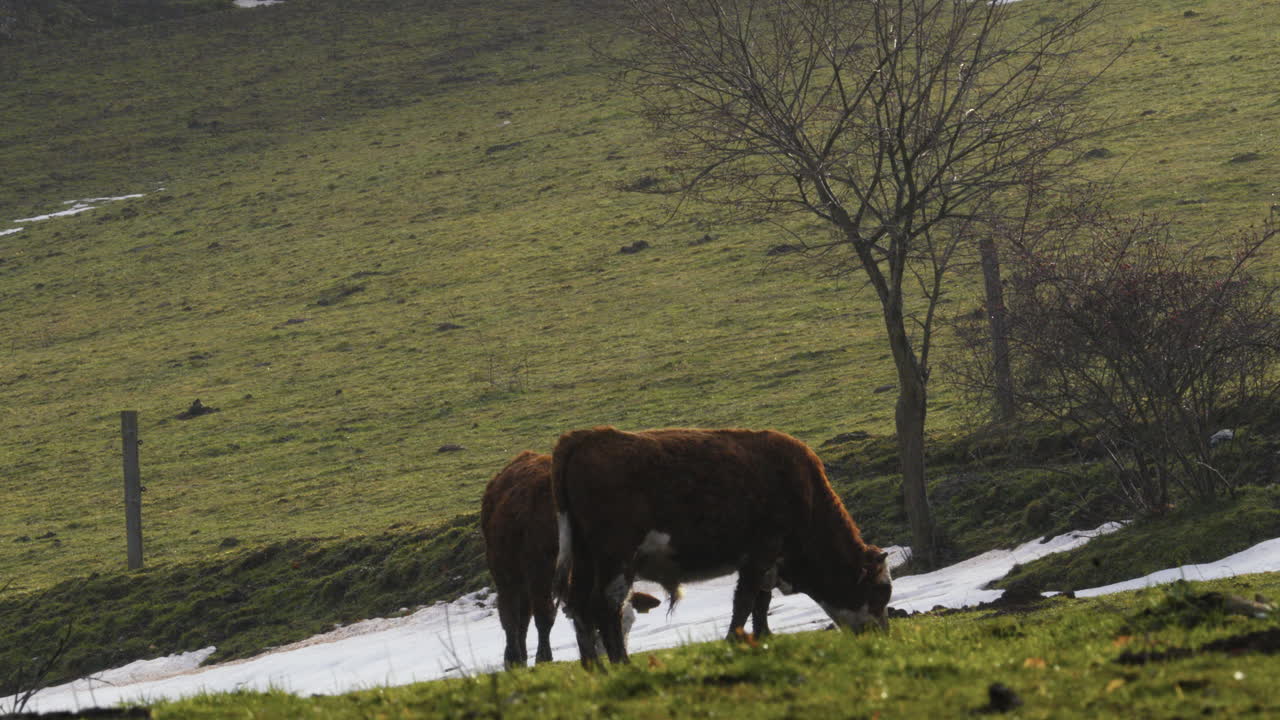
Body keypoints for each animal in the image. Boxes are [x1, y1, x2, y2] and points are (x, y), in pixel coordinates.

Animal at [481, 450, 660, 668]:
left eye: (630, 622)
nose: (608, 653)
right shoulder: (538, 570)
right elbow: (545, 615)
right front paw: (543, 657)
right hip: (504, 569)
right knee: (510, 614)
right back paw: (513, 657)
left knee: (523, 617)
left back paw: (519, 658)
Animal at [551, 427, 892, 667]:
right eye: (880, 591)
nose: (883, 635)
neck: (805, 493)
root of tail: (587, 436)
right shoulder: (761, 552)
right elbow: (745, 602)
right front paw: (734, 641)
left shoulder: (767, 562)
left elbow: (760, 603)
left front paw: (763, 638)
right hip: (616, 558)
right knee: (607, 605)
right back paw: (621, 663)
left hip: (585, 560)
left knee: (580, 607)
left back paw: (596, 669)